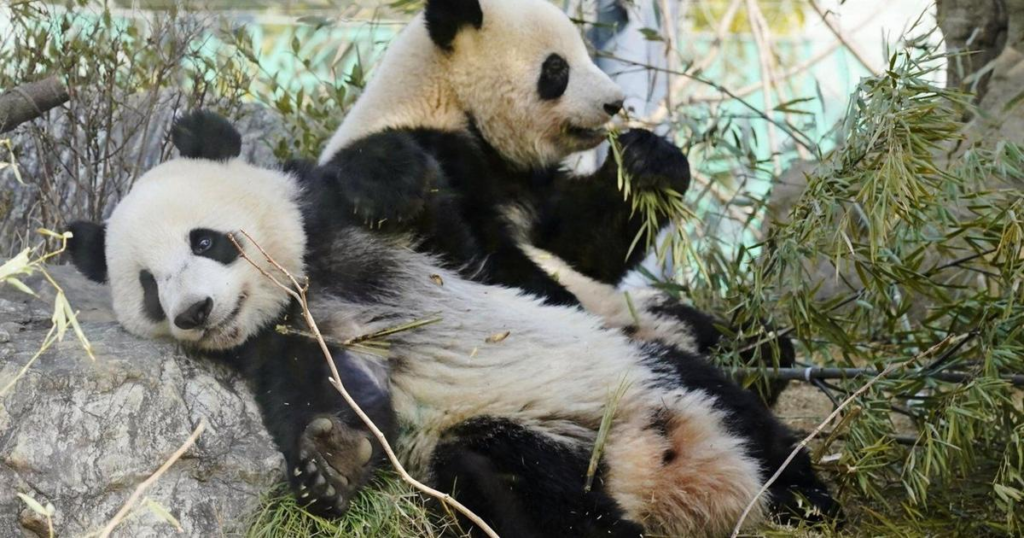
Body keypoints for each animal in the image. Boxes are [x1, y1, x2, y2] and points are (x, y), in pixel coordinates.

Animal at [67, 111, 838, 537]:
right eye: (148, 287)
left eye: (205, 241)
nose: (194, 312)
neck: (307, 286)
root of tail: (662, 472)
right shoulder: (283, 340)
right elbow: (329, 394)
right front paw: (329, 462)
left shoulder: (376, 239)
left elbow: (484, 251)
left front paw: (385, 175)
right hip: (533, 445)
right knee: (514, 486)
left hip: (647, 375)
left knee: (749, 424)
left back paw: (810, 505)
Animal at [308, 0, 795, 404]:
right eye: (557, 68)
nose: (615, 103)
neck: (449, 101)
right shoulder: (431, 145)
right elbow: (464, 257)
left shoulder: (528, 184)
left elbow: (582, 247)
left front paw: (650, 160)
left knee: (740, 338)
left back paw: (759, 356)